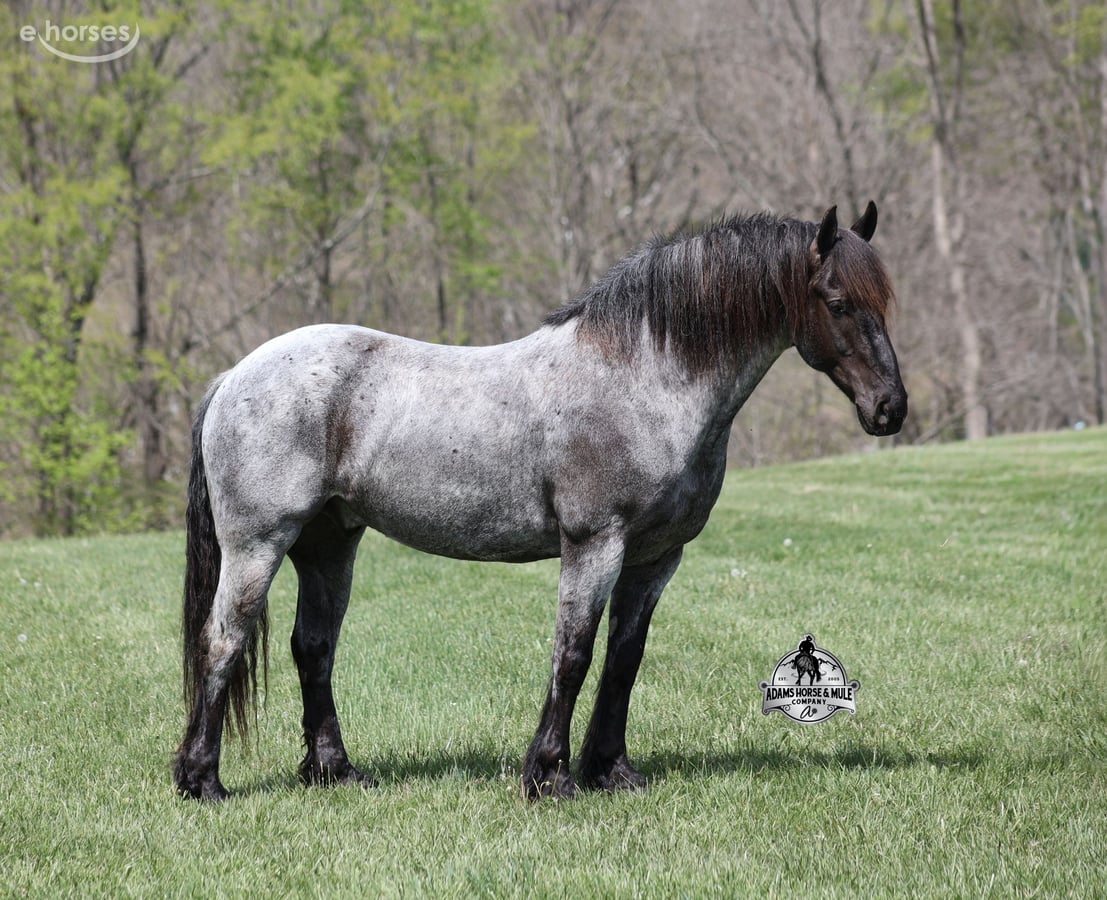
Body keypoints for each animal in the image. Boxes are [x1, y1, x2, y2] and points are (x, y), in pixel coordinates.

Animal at [173, 203, 907, 802]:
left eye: (884, 302)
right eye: (837, 302)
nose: (890, 409)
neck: (642, 380)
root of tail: (232, 376)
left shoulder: (655, 558)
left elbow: (624, 660)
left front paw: (611, 771)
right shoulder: (593, 544)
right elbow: (572, 654)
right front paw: (548, 776)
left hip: (328, 544)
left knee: (313, 647)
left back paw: (335, 771)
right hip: (259, 544)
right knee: (223, 639)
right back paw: (202, 781)